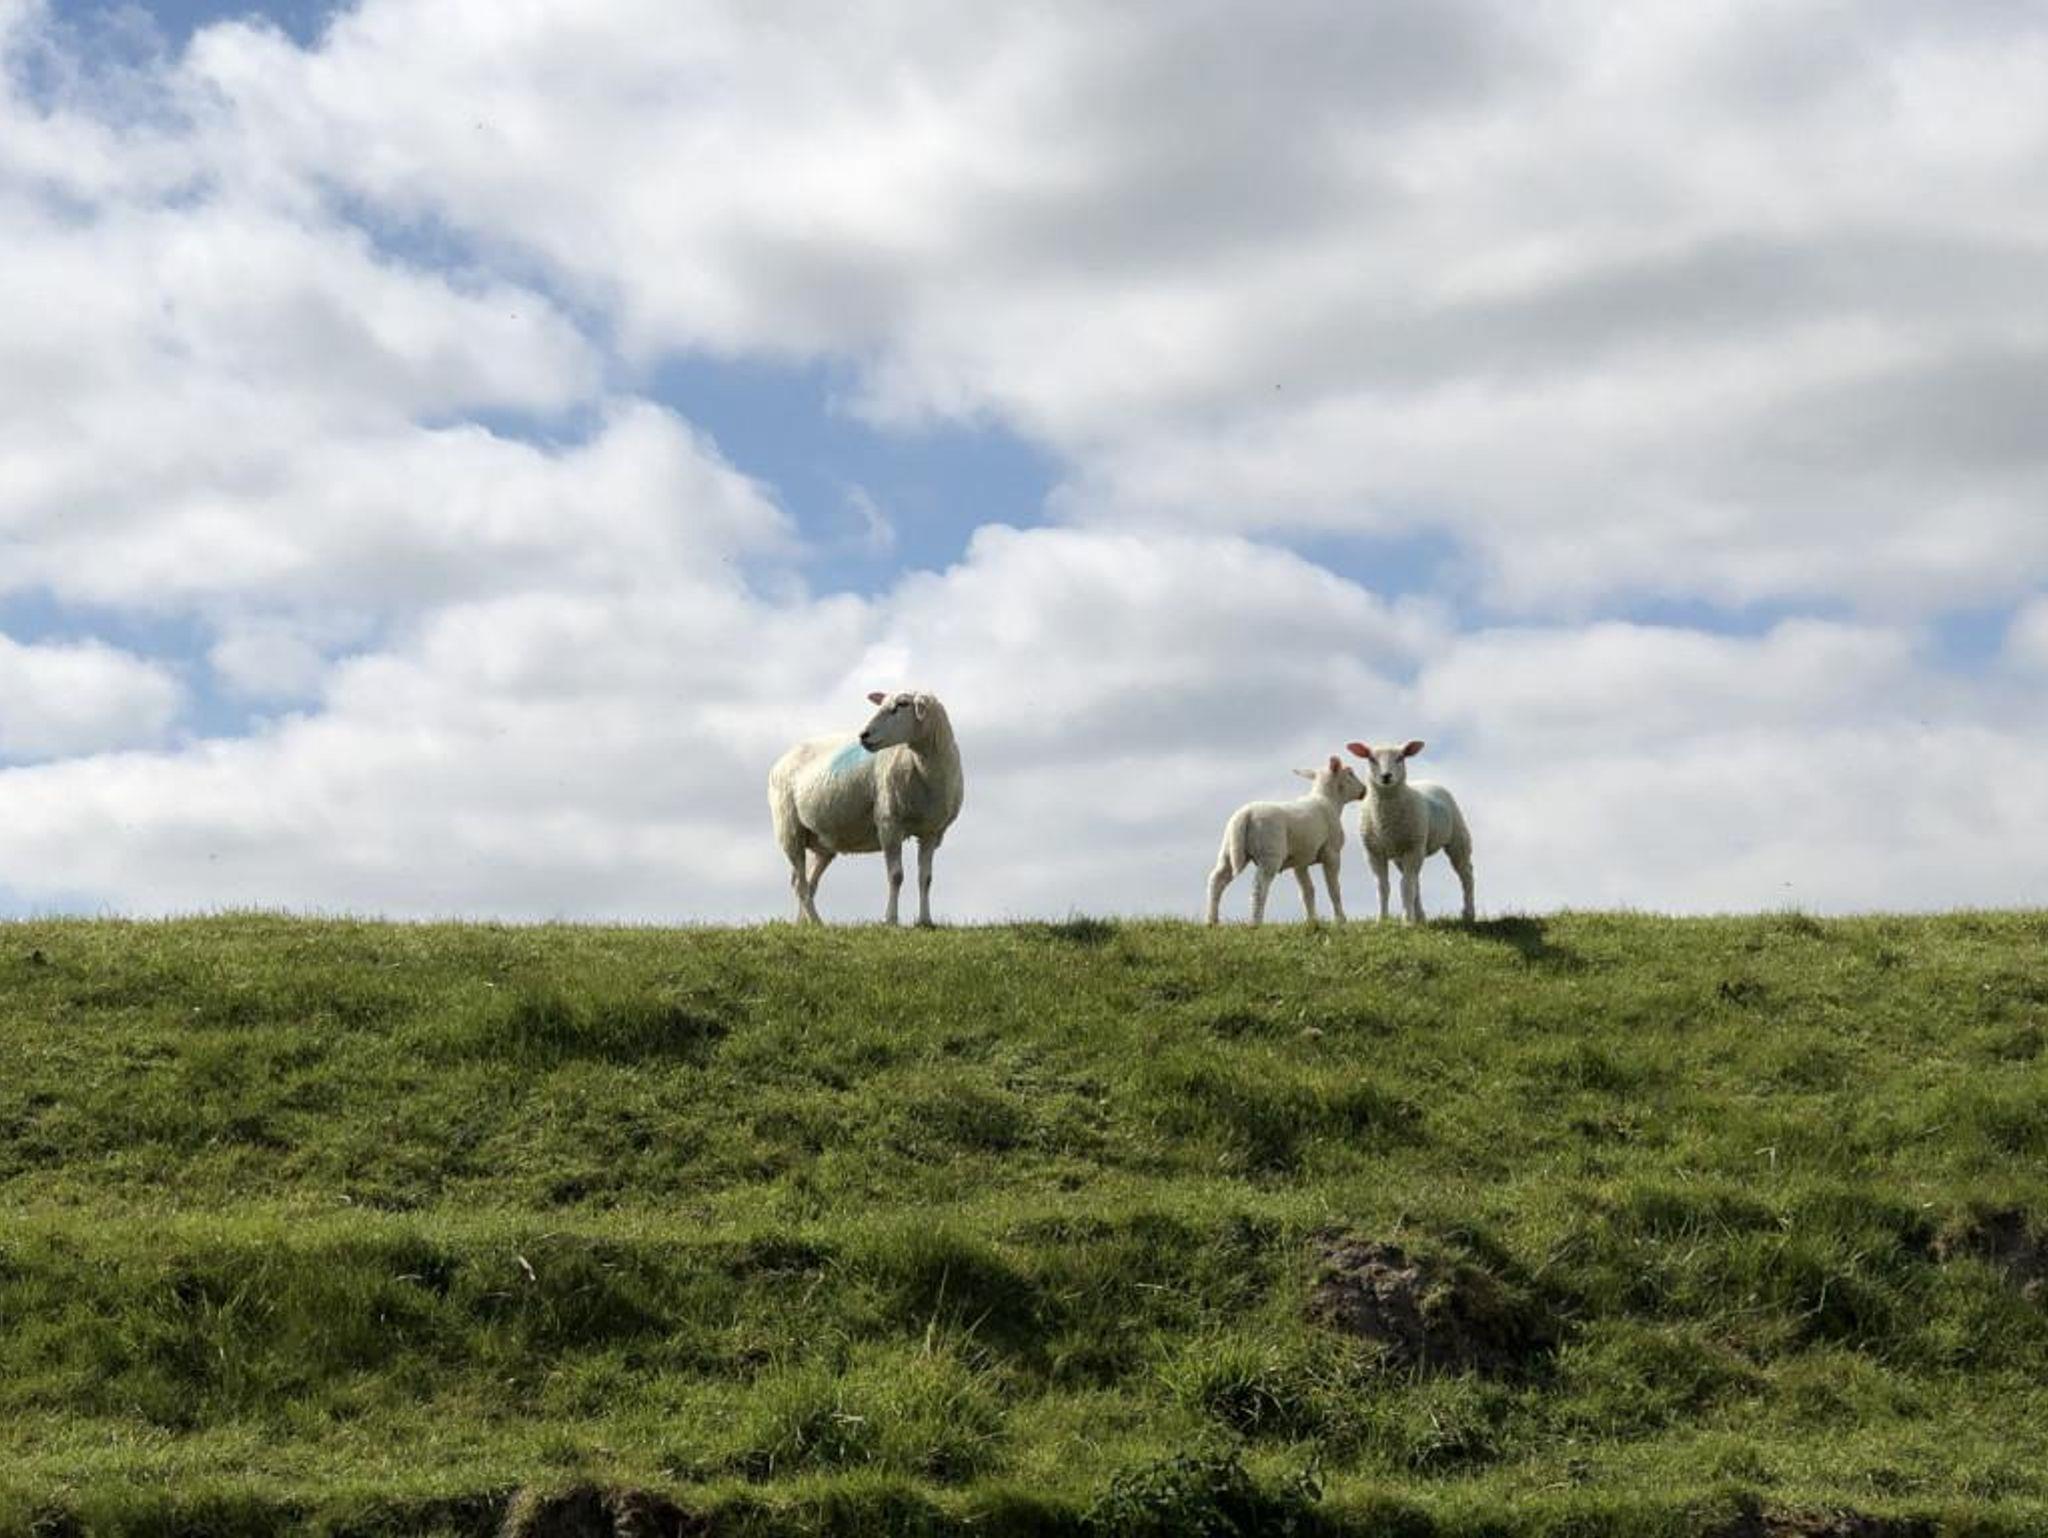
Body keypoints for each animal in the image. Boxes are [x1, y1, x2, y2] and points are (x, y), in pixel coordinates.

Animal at [768, 690, 964, 926]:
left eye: (902, 704)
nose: (863, 735)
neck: (924, 767)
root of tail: (782, 760)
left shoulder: (931, 831)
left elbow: (925, 878)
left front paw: (925, 921)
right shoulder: (889, 823)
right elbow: (896, 876)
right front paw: (891, 920)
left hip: (822, 844)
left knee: (806, 882)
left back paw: (804, 924)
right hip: (789, 829)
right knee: (800, 883)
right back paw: (817, 923)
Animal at [1205, 754, 1367, 925]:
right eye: (1350, 773)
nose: (1364, 790)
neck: (1329, 801)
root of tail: (1246, 814)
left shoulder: (1301, 861)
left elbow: (1307, 892)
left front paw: (1312, 921)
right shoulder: (1332, 853)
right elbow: (1334, 889)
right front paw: (1340, 919)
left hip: (1228, 849)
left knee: (1217, 880)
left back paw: (1212, 921)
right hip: (1270, 855)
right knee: (1259, 887)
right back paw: (1255, 922)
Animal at [1346, 739, 1474, 923]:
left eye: (1400, 757)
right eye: (1371, 759)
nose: (1386, 776)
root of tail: (1427, 781)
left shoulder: (1413, 848)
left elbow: (1406, 886)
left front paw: (1406, 921)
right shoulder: (1373, 852)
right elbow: (1383, 887)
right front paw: (1382, 920)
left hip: (1456, 837)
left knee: (1466, 874)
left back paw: (1468, 913)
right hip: (1402, 854)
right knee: (1415, 882)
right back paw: (1419, 916)